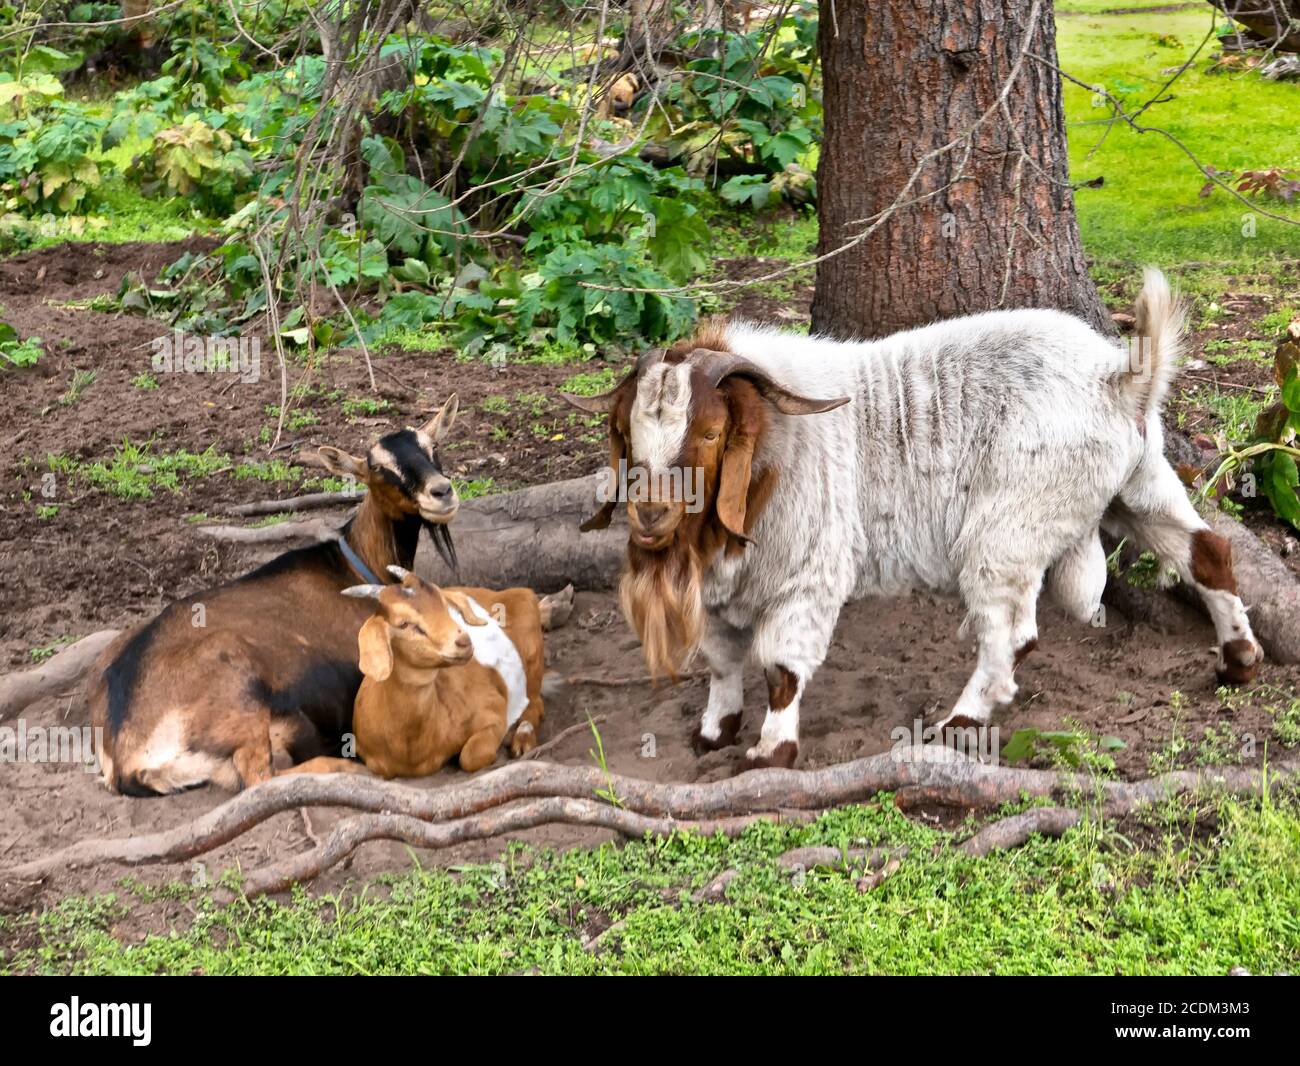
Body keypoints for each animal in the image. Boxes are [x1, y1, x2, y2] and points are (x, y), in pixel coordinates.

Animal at [296, 569, 548, 780]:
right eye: (404, 624)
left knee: (535, 702)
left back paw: (523, 740)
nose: (464, 641)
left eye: (445, 605)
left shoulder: (492, 711)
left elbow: (469, 756)